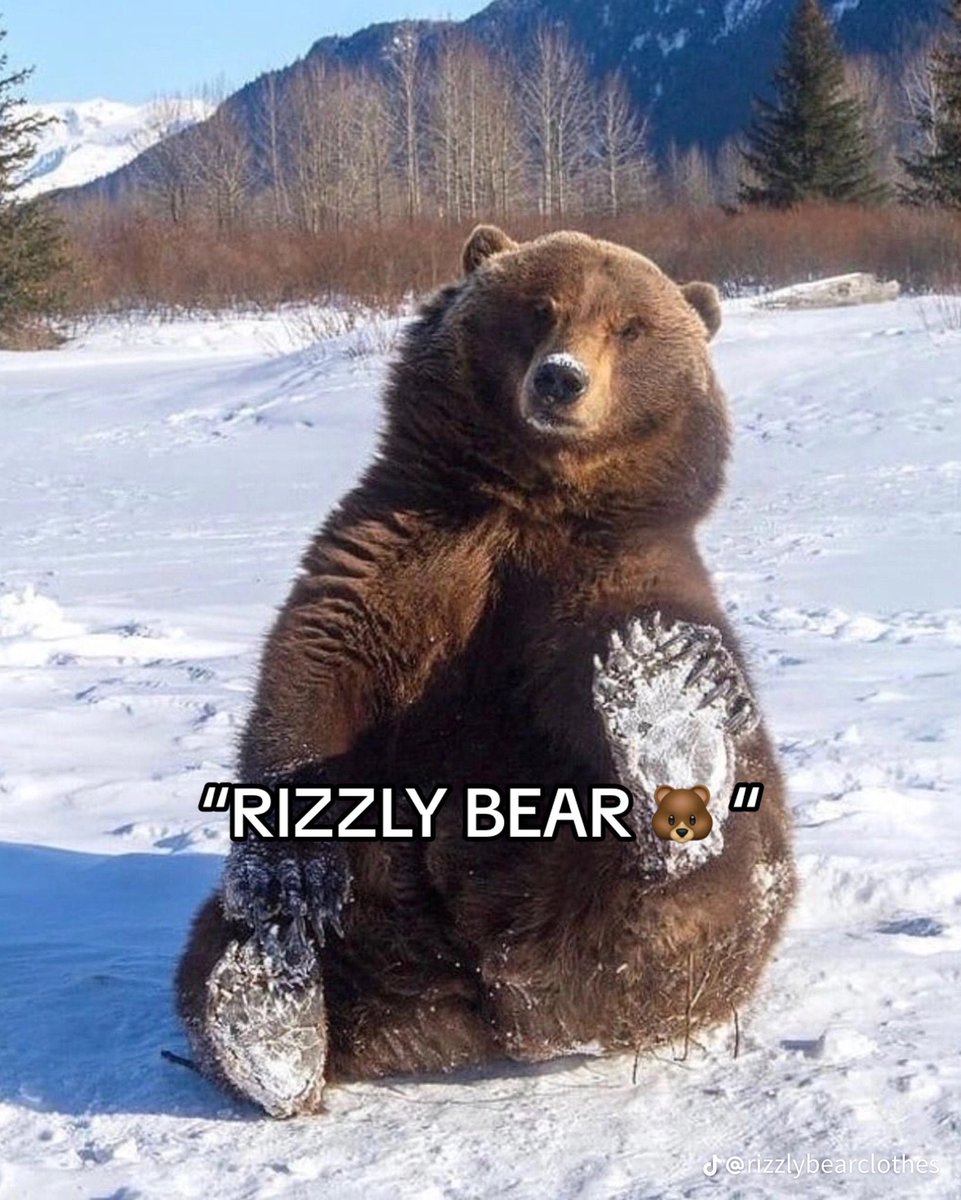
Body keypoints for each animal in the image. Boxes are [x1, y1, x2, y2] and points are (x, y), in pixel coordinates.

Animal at [175, 225, 796, 1117]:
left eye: (630, 327)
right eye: (539, 307)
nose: (561, 378)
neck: (526, 500)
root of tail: (486, 1005)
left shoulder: (604, 576)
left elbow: (593, 681)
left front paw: (665, 684)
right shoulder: (397, 553)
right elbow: (312, 681)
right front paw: (290, 878)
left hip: (640, 909)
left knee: (703, 890)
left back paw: (668, 745)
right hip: (379, 896)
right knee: (219, 944)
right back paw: (268, 1007)